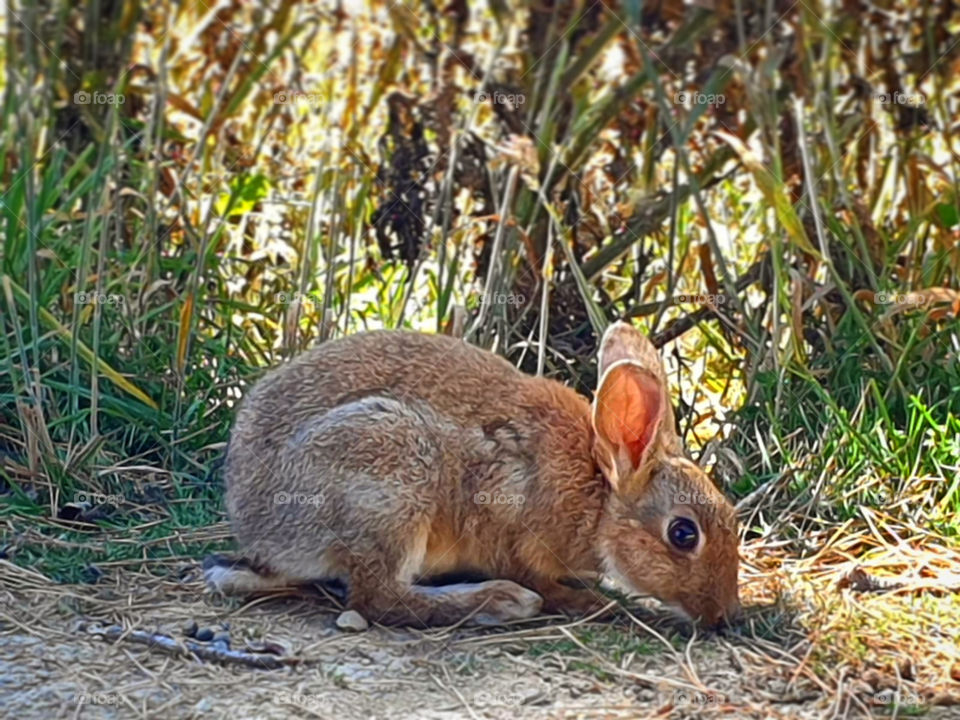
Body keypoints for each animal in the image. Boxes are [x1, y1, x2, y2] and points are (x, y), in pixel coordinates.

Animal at [206, 324, 740, 628]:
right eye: (683, 533)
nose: (723, 615)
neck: (599, 498)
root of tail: (258, 531)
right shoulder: (514, 536)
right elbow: (540, 580)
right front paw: (591, 603)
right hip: (391, 477)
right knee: (377, 599)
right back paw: (500, 603)